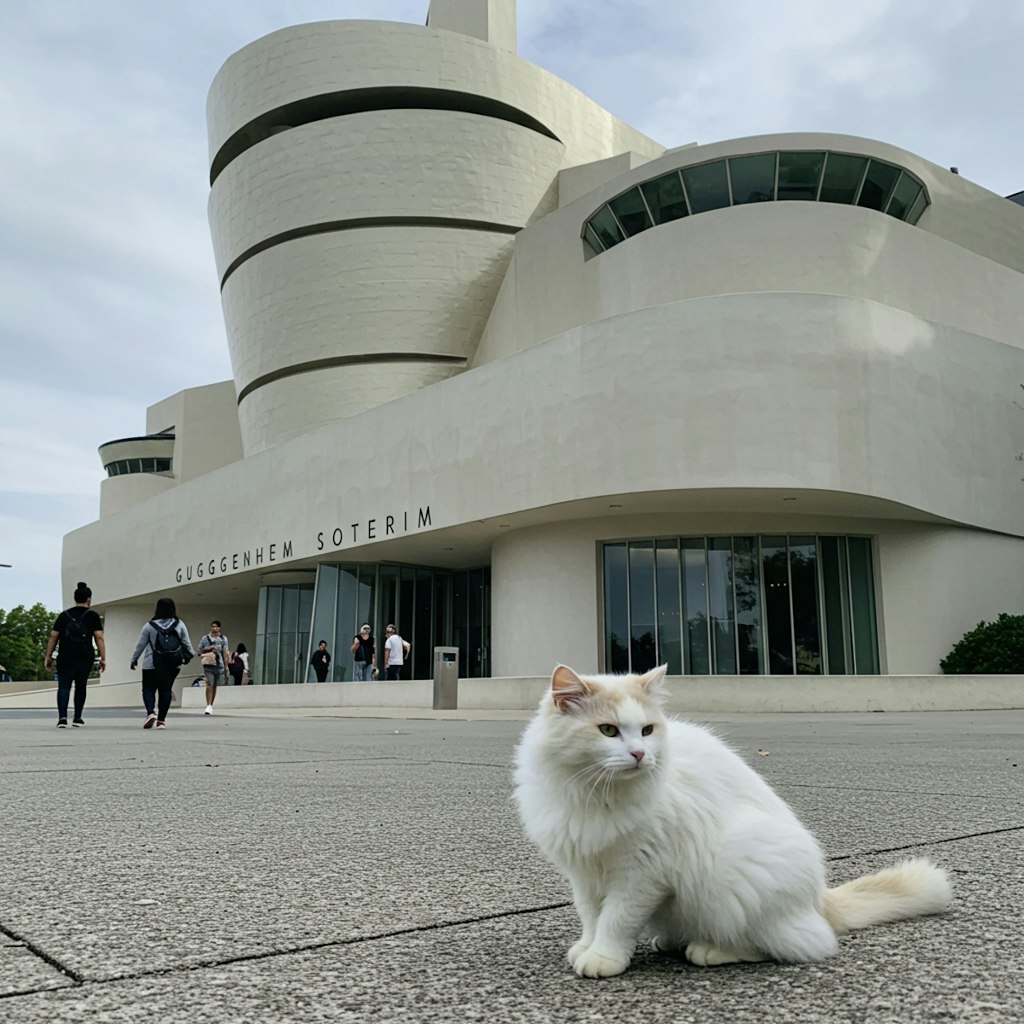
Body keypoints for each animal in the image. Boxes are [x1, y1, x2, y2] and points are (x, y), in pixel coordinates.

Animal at [516, 663, 954, 974]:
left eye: (647, 730)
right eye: (608, 731)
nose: (640, 754)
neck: (595, 796)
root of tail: (818, 900)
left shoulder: (640, 874)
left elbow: (616, 920)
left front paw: (604, 957)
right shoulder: (584, 871)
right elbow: (591, 917)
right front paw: (585, 947)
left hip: (734, 874)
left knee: (798, 943)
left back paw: (708, 950)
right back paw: (670, 941)